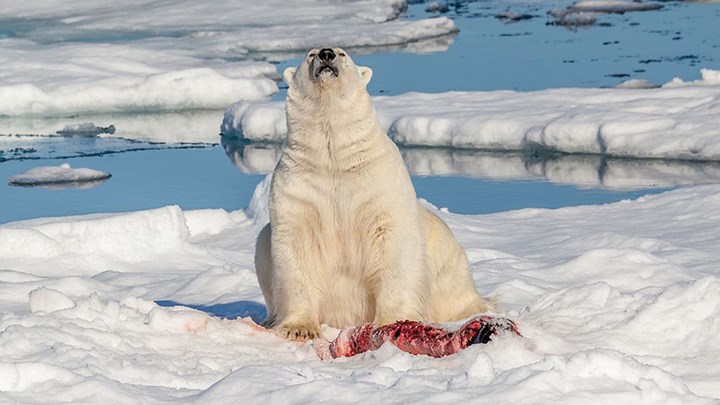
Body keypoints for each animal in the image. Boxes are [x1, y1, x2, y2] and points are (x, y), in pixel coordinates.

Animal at [253, 45, 496, 340]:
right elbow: (296, 250)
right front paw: (299, 328)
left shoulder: (379, 185)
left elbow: (392, 245)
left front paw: (391, 320)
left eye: (343, 54)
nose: (326, 54)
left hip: (448, 263)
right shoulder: (298, 191)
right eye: (310, 54)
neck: (335, 159)